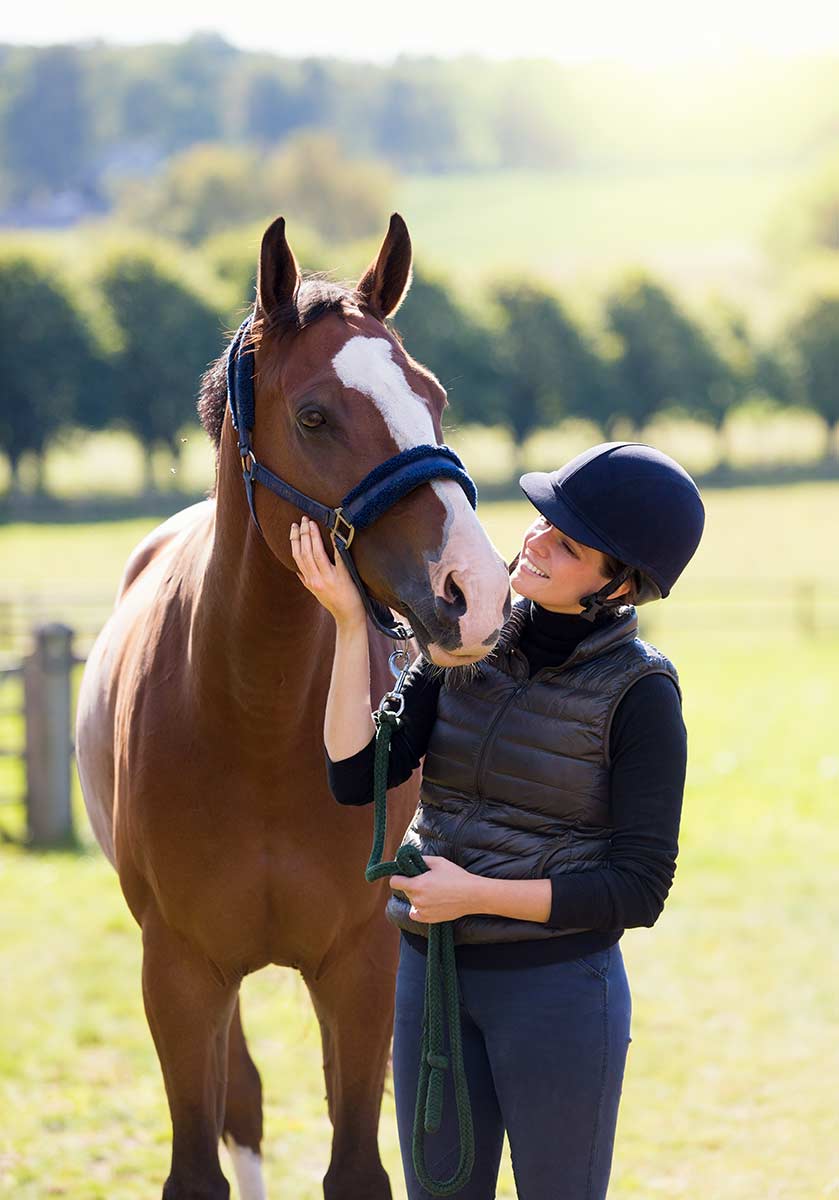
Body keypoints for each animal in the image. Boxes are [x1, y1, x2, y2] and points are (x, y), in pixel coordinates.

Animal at [75, 216, 511, 1200]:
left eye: (432, 398)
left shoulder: (361, 967)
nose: (475, 593)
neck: (257, 725)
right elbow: (203, 1159)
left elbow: (354, 1164)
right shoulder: (180, 972)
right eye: (314, 416)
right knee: (242, 1102)